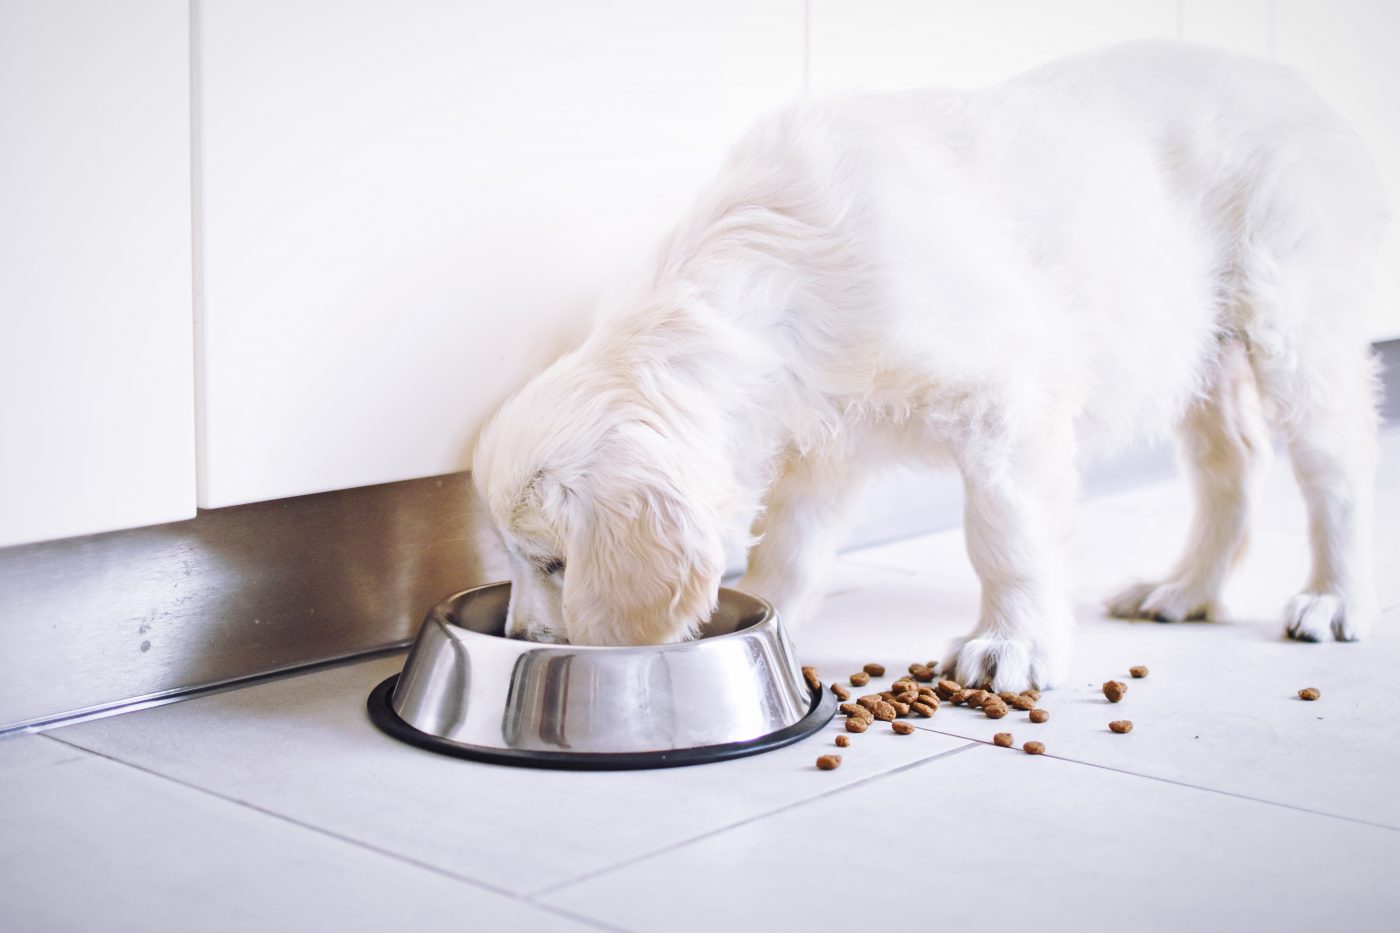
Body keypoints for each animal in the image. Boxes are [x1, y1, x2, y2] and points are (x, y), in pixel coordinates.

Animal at [467, 39, 1377, 686]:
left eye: (554, 563)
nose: (525, 639)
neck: (776, 282)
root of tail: (1295, 81)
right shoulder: (821, 447)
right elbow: (789, 551)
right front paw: (773, 618)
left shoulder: (1009, 404)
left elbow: (1004, 535)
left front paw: (1010, 644)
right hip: (1197, 343)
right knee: (1234, 464)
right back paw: (1184, 590)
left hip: (1293, 315)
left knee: (1335, 469)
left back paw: (1333, 597)